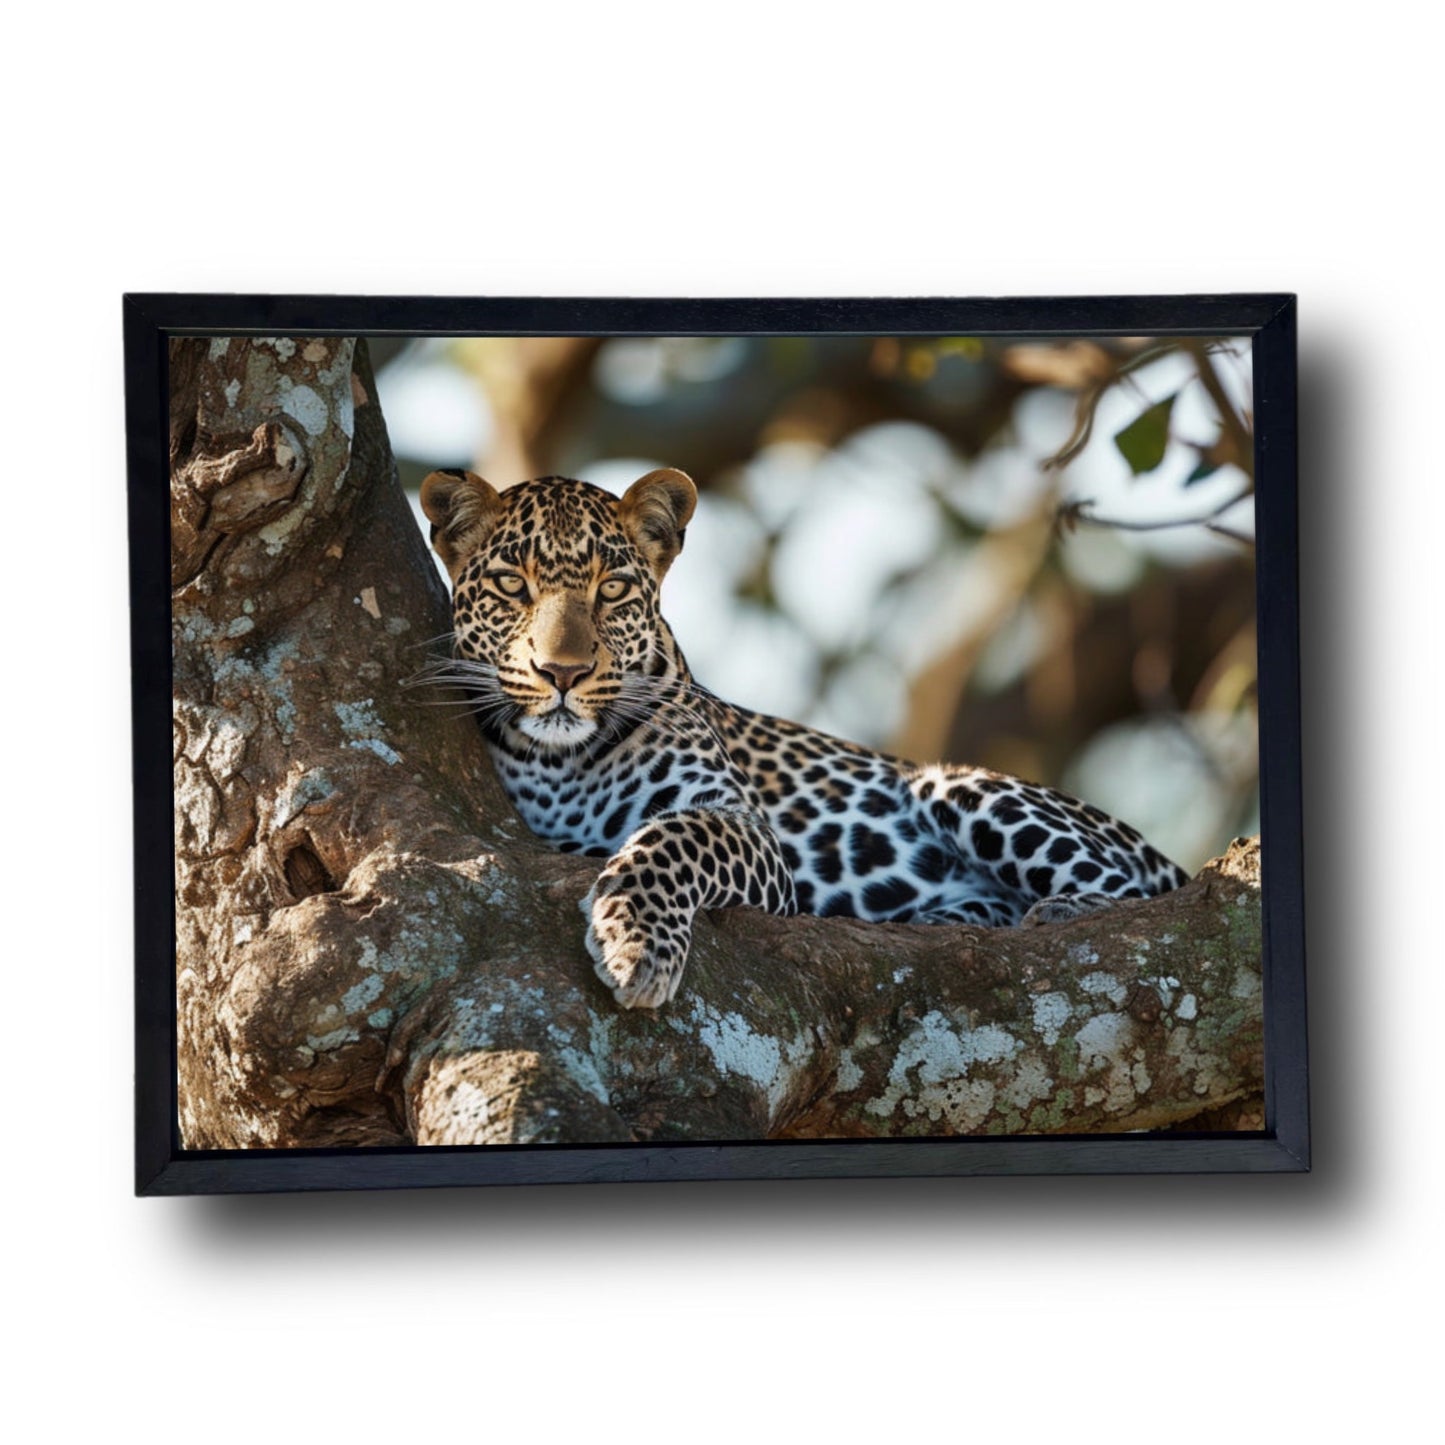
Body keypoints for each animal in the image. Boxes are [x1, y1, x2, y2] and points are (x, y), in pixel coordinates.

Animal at [416, 468, 1184, 1011]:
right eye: (512, 586)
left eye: (611, 590)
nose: (564, 672)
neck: (560, 760)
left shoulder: (742, 825)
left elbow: (670, 838)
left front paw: (637, 945)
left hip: (960, 785)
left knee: (1127, 895)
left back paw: (1056, 908)